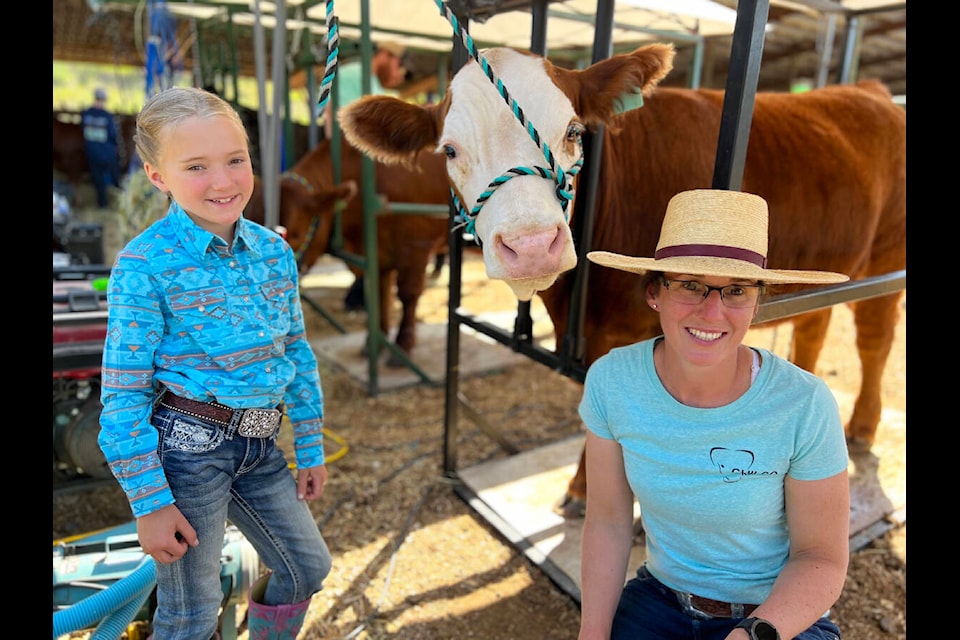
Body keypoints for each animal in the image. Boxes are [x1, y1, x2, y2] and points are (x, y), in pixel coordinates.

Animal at [344, 45, 908, 516]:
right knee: (814, 327)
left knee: (875, 340)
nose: (531, 245)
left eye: (575, 131)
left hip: (887, 257)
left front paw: (591, 493)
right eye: (449, 151)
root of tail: (871, 90)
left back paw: (861, 427)